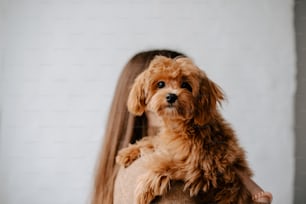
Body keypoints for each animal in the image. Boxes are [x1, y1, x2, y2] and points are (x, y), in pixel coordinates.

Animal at [116, 56, 252, 204]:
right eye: (160, 84)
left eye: (186, 85)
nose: (171, 96)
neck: (181, 126)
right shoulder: (166, 142)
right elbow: (153, 140)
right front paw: (128, 152)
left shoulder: (204, 166)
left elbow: (167, 164)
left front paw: (145, 187)